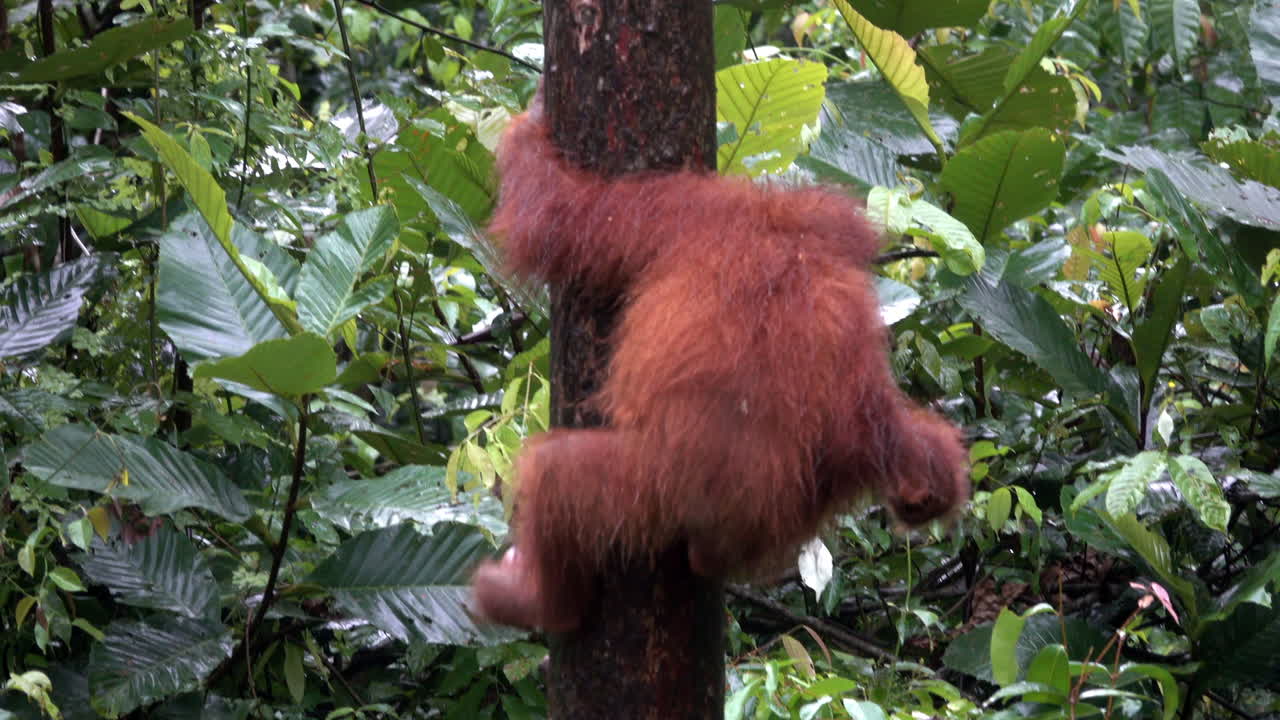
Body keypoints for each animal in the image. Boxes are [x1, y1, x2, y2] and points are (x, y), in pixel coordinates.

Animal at [469, 92, 970, 632]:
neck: (784, 234)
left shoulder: (678, 209)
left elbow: (557, 218)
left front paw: (528, 125)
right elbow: (881, 412)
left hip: (648, 489)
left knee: (553, 474)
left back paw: (538, 602)